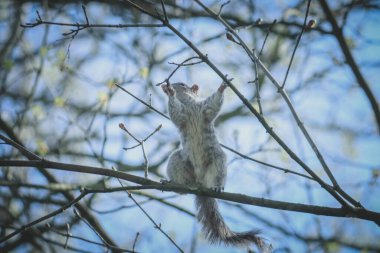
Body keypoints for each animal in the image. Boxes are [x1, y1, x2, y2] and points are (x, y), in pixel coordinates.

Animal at [162, 82, 268, 252]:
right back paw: (173, 184)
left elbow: (214, 104)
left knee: (216, 175)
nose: (169, 86)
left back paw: (217, 187)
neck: (189, 105)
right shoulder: (182, 116)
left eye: (183, 85)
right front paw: (170, 93)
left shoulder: (205, 109)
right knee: (183, 188)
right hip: (177, 161)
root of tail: (200, 184)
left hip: (217, 162)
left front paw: (222, 87)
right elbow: (175, 113)